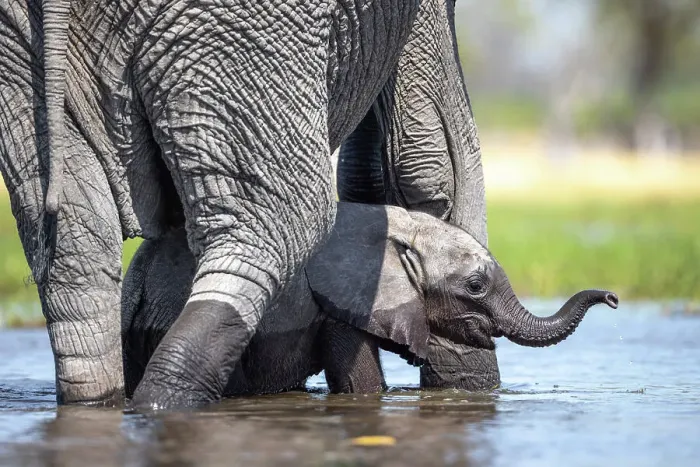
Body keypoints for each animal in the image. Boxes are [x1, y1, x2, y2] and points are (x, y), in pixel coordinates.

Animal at [0, 0, 494, 408]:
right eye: (473, 285)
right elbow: (431, 158)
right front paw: (465, 386)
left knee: (75, 243)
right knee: (284, 219)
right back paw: (165, 402)